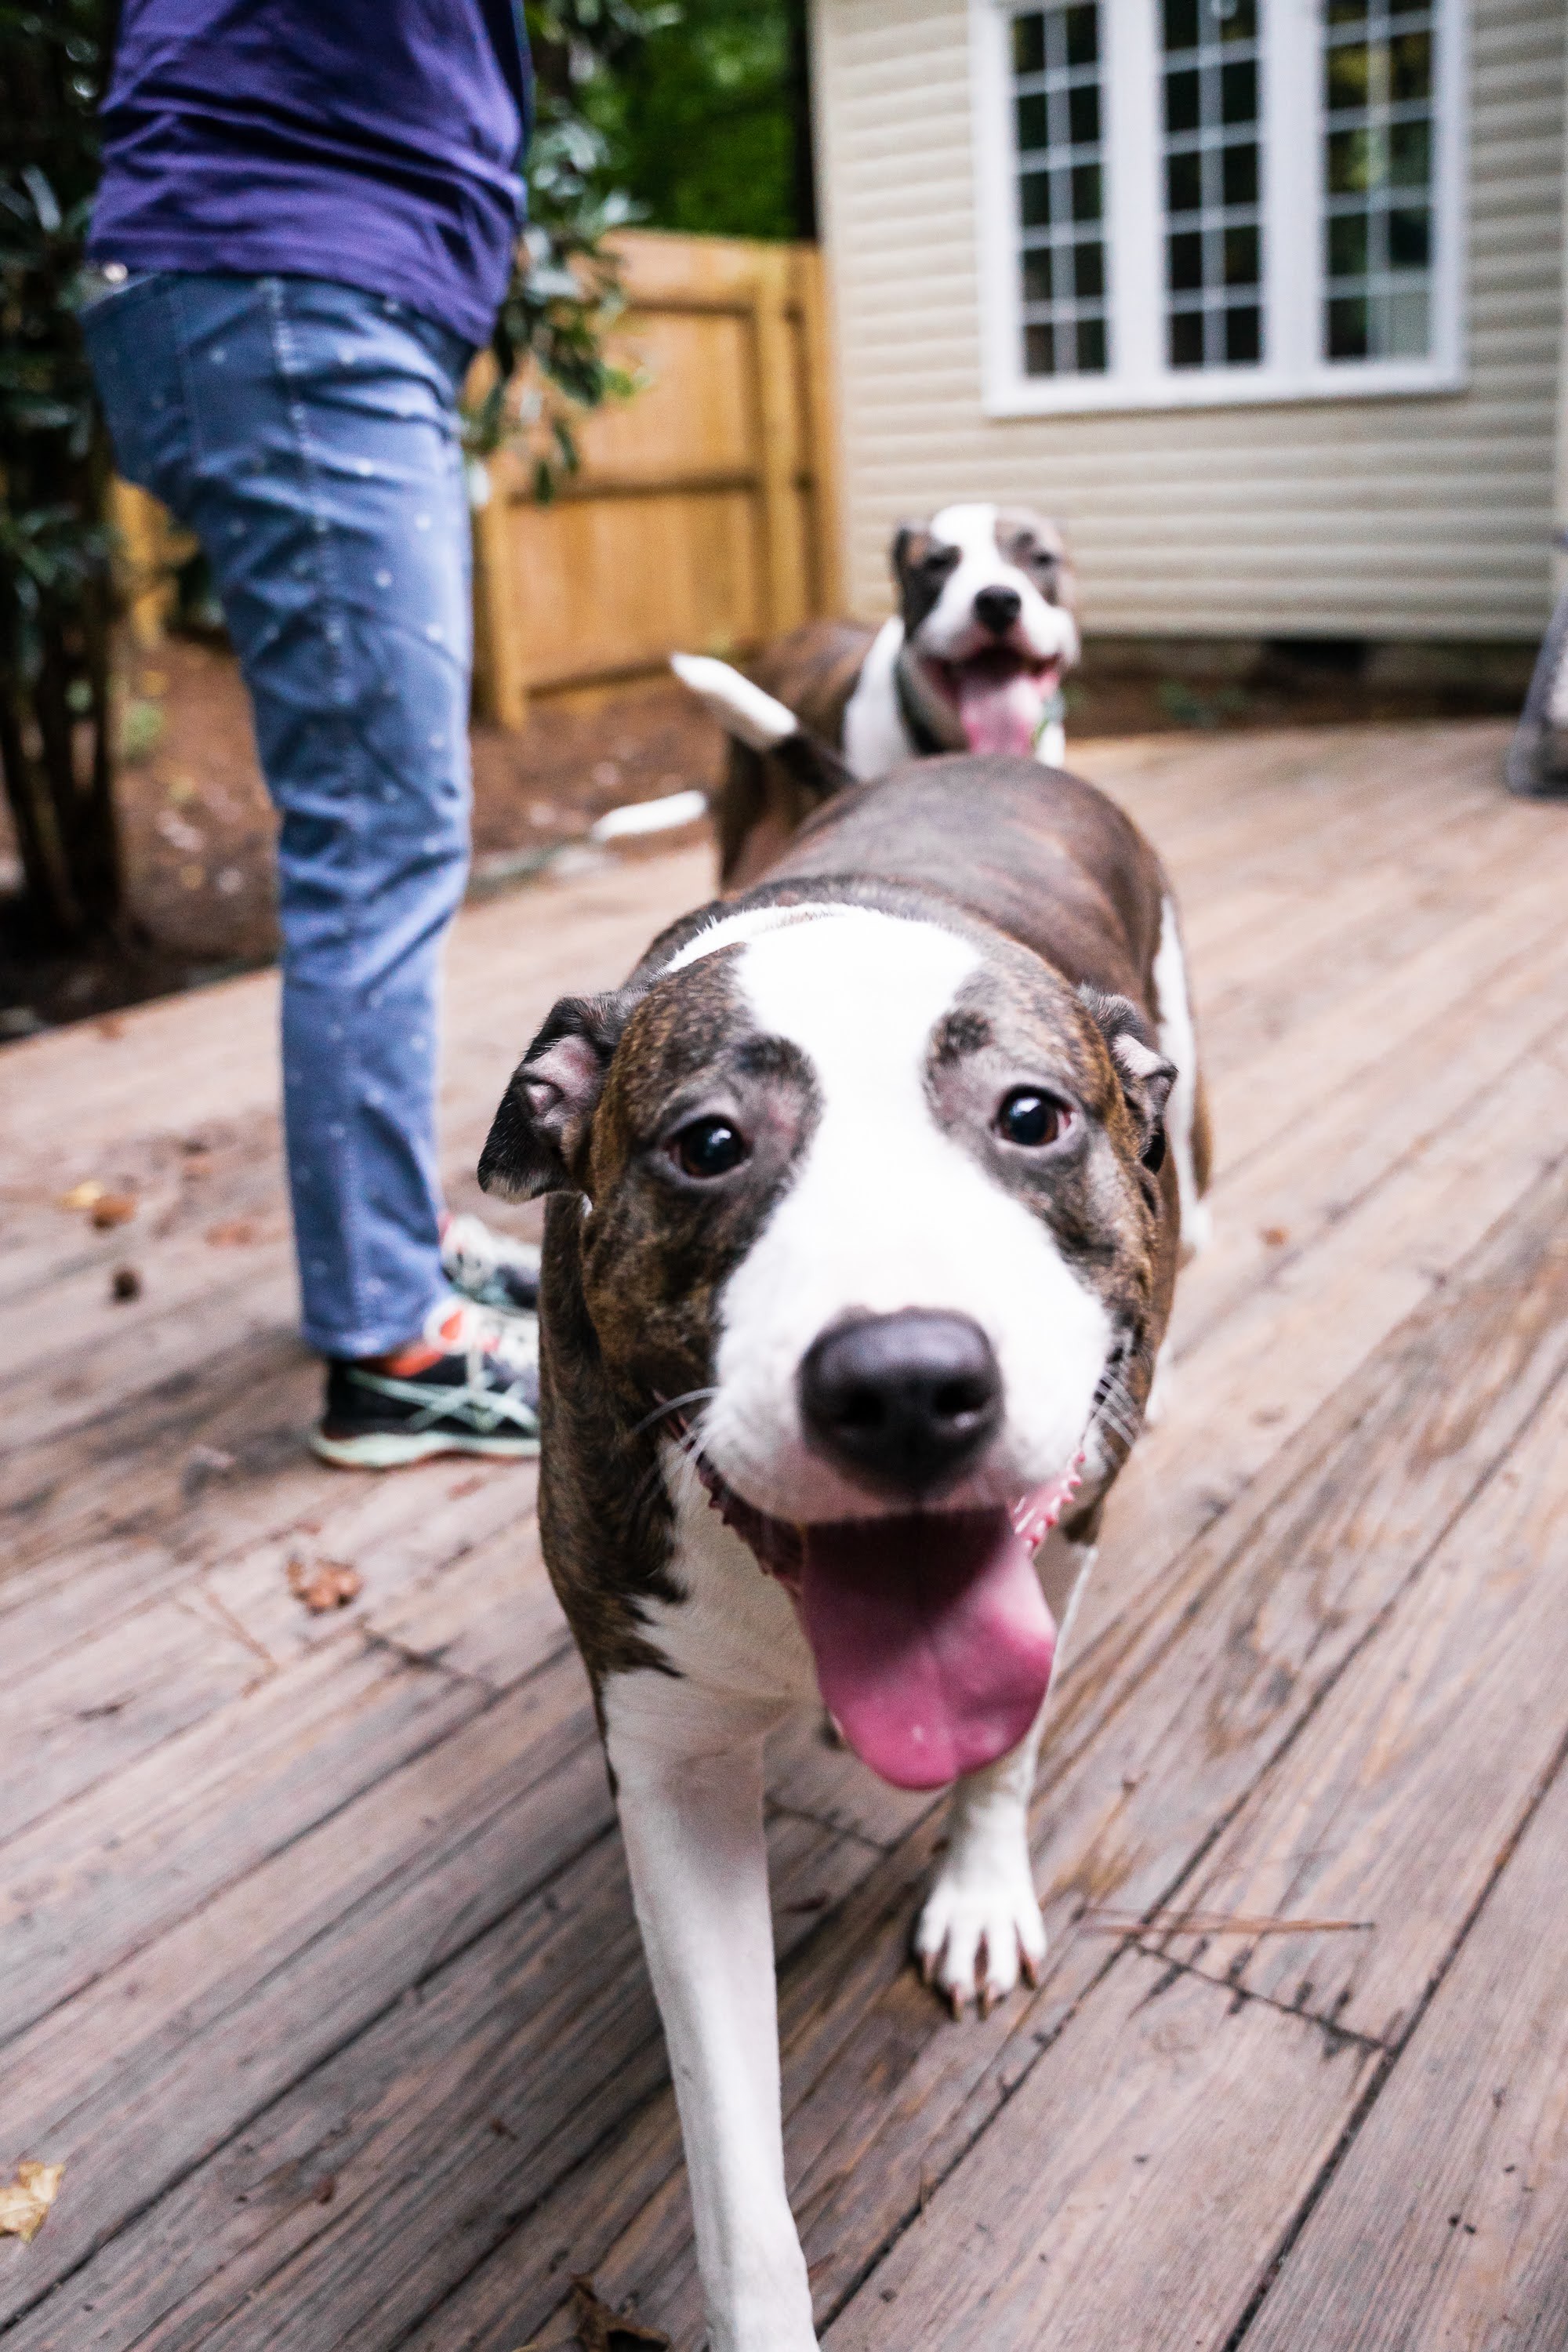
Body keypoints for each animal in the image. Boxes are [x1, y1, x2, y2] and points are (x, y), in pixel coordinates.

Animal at [484, 663, 1213, 2352]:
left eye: (1033, 1116)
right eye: (704, 1146)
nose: (903, 1382)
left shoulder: (1068, 1524)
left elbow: (1005, 1739)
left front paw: (980, 1888)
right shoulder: (668, 1751)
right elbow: (733, 2167)